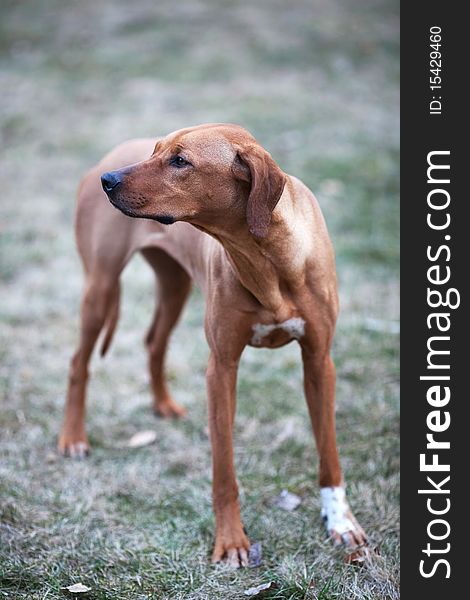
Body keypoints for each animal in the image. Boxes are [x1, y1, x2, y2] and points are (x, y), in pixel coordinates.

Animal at [59, 123, 368, 568]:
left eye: (180, 161)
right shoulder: (221, 369)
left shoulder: (319, 360)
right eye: (156, 150)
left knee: (154, 341)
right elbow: (224, 471)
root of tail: (104, 157)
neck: (266, 256)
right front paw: (232, 541)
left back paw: (163, 404)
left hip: (174, 285)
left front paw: (340, 523)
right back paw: (73, 438)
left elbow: (329, 455)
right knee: (78, 362)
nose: (108, 181)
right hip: (100, 287)